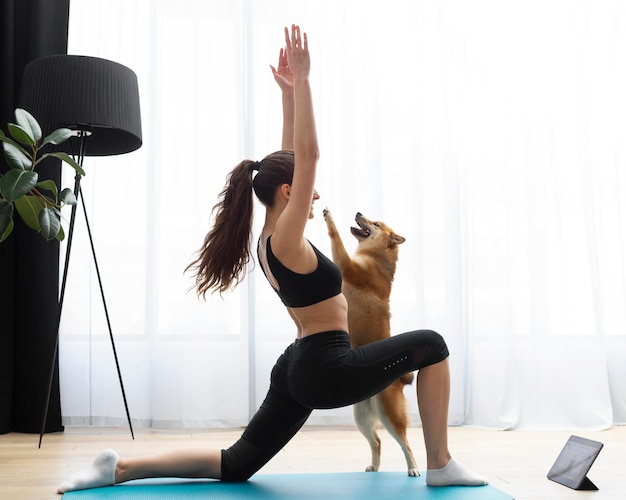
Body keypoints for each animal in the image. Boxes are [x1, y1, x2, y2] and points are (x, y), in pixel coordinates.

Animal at [322, 207, 414, 476]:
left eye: (375, 224)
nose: (358, 212)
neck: (375, 259)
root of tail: (399, 382)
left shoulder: (347, 266)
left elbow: (335, 237)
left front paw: (329, 218)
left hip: (389, 415)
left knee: (406, 444)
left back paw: (413, 469)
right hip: (361, 417)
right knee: (377, 441)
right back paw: (375, 466)